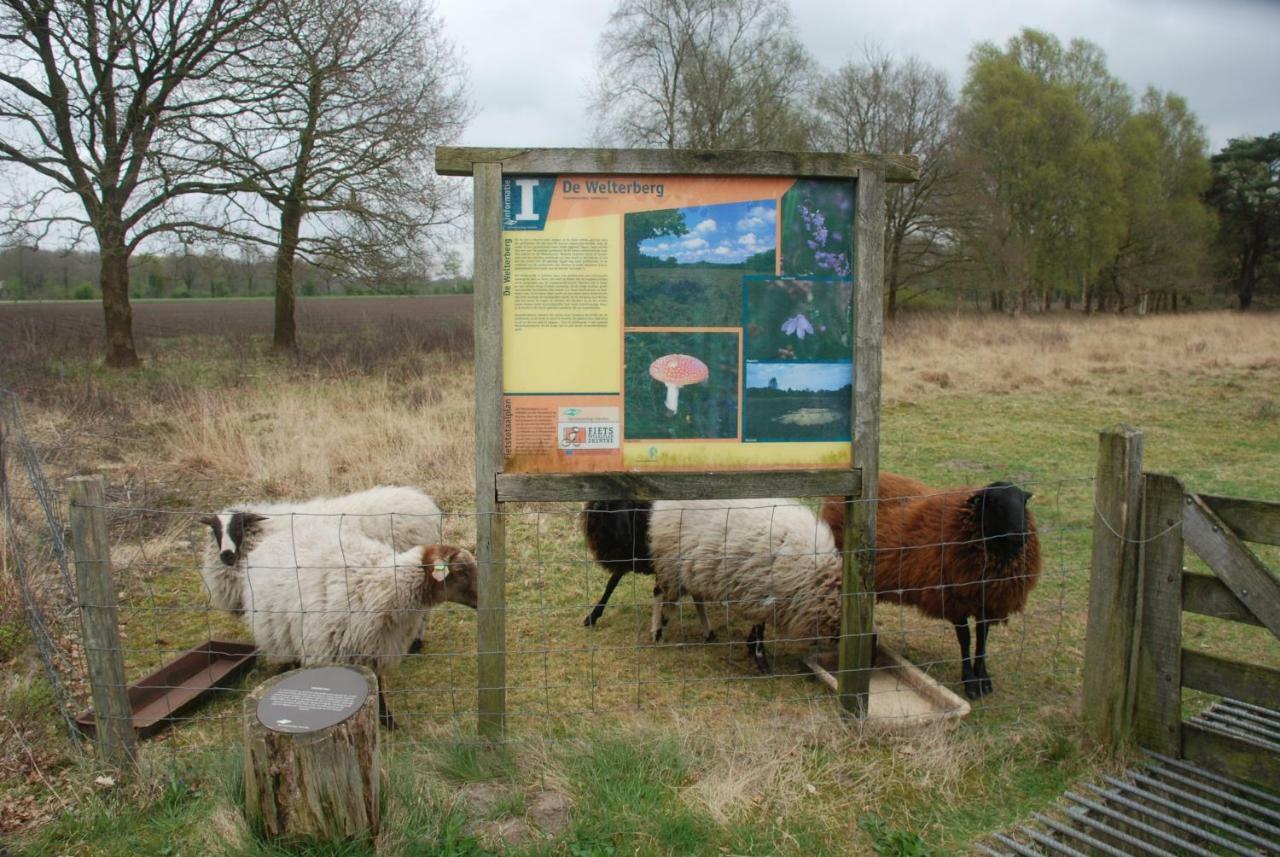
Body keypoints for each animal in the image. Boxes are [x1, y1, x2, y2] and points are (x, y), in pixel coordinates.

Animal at [241, 524, 478, 731]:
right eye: (462, 571)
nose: (482, 599)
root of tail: (270, 539)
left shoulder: (375, 648)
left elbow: (378, 687)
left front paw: (388, 722)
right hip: (275, 631)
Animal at [645, 501, 844, 675]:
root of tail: (661, 504)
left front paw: (751, 646)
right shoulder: (760, 590)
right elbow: (760, 626)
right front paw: (761, 660)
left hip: (691, 569)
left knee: (694, 596)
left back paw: (706, 633)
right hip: (669, 563)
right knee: (659, 592)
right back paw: (657, 631)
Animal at [819, 473, 1039, 700]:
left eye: (1023, 502)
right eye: (994, 502)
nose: (1021, 535)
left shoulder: (988, 601)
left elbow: (982, 640)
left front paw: (983, 679)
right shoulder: (952, 600)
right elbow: (966, 639)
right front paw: (970, 681)